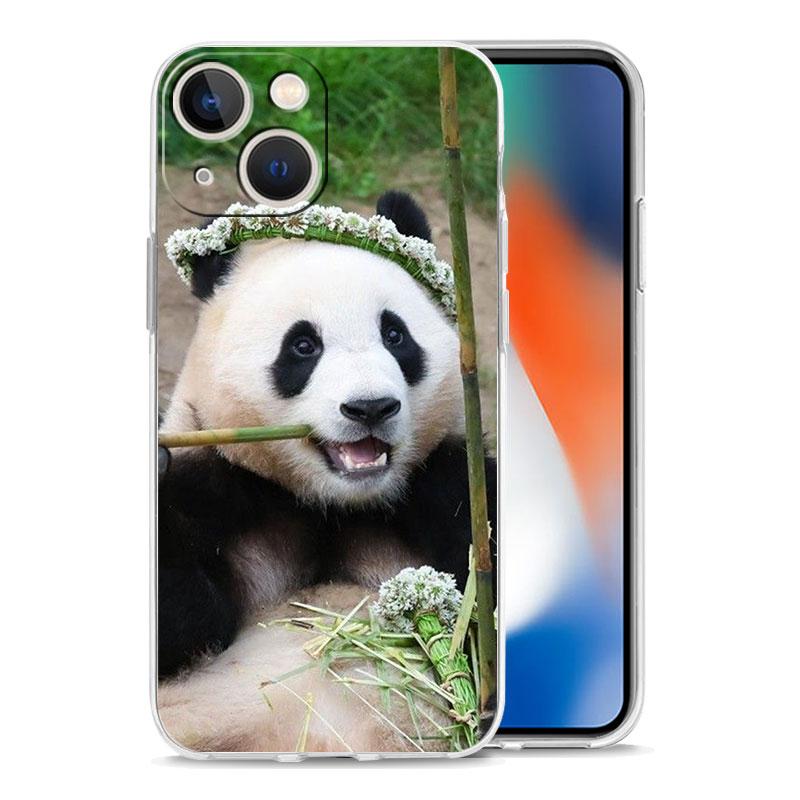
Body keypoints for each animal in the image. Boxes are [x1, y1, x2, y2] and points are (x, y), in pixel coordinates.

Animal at [156, 191, 496, 753]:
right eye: (303, 346)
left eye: (395, 335)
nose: (370, 407)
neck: (331, 506)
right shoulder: (220, 485)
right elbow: (187, 631)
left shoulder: (445, 487)